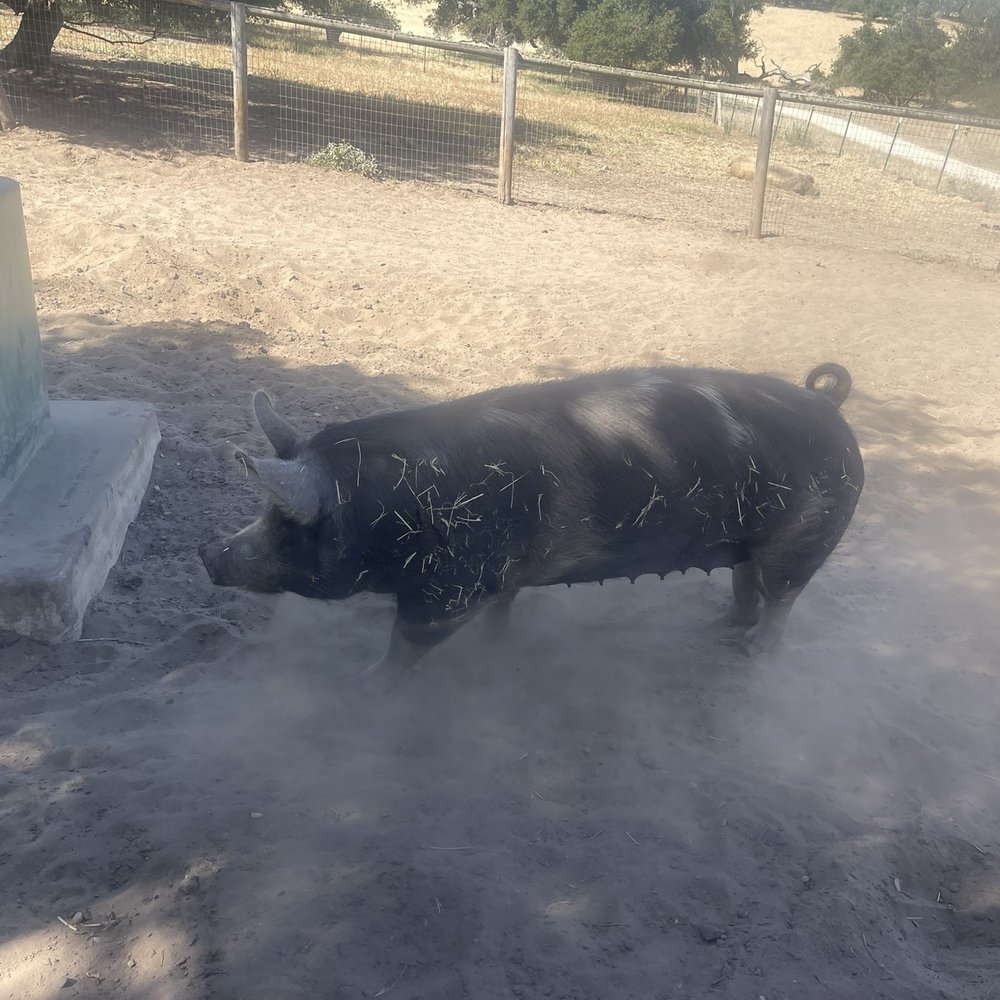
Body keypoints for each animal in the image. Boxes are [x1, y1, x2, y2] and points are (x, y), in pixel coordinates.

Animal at [200, 363, 863, 679]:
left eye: (288, 522)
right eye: (266, 510)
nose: (206, 554)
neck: (384, 511)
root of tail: (827, 402)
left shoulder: (450, 585)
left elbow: (406, 641)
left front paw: (363, 681)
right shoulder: (499, 572)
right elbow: (504, 608)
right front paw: (497, 646)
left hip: (809, 530)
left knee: (784, 597)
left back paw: (752, 650)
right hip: (754, 538)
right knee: (748, 580)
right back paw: (724, 626)